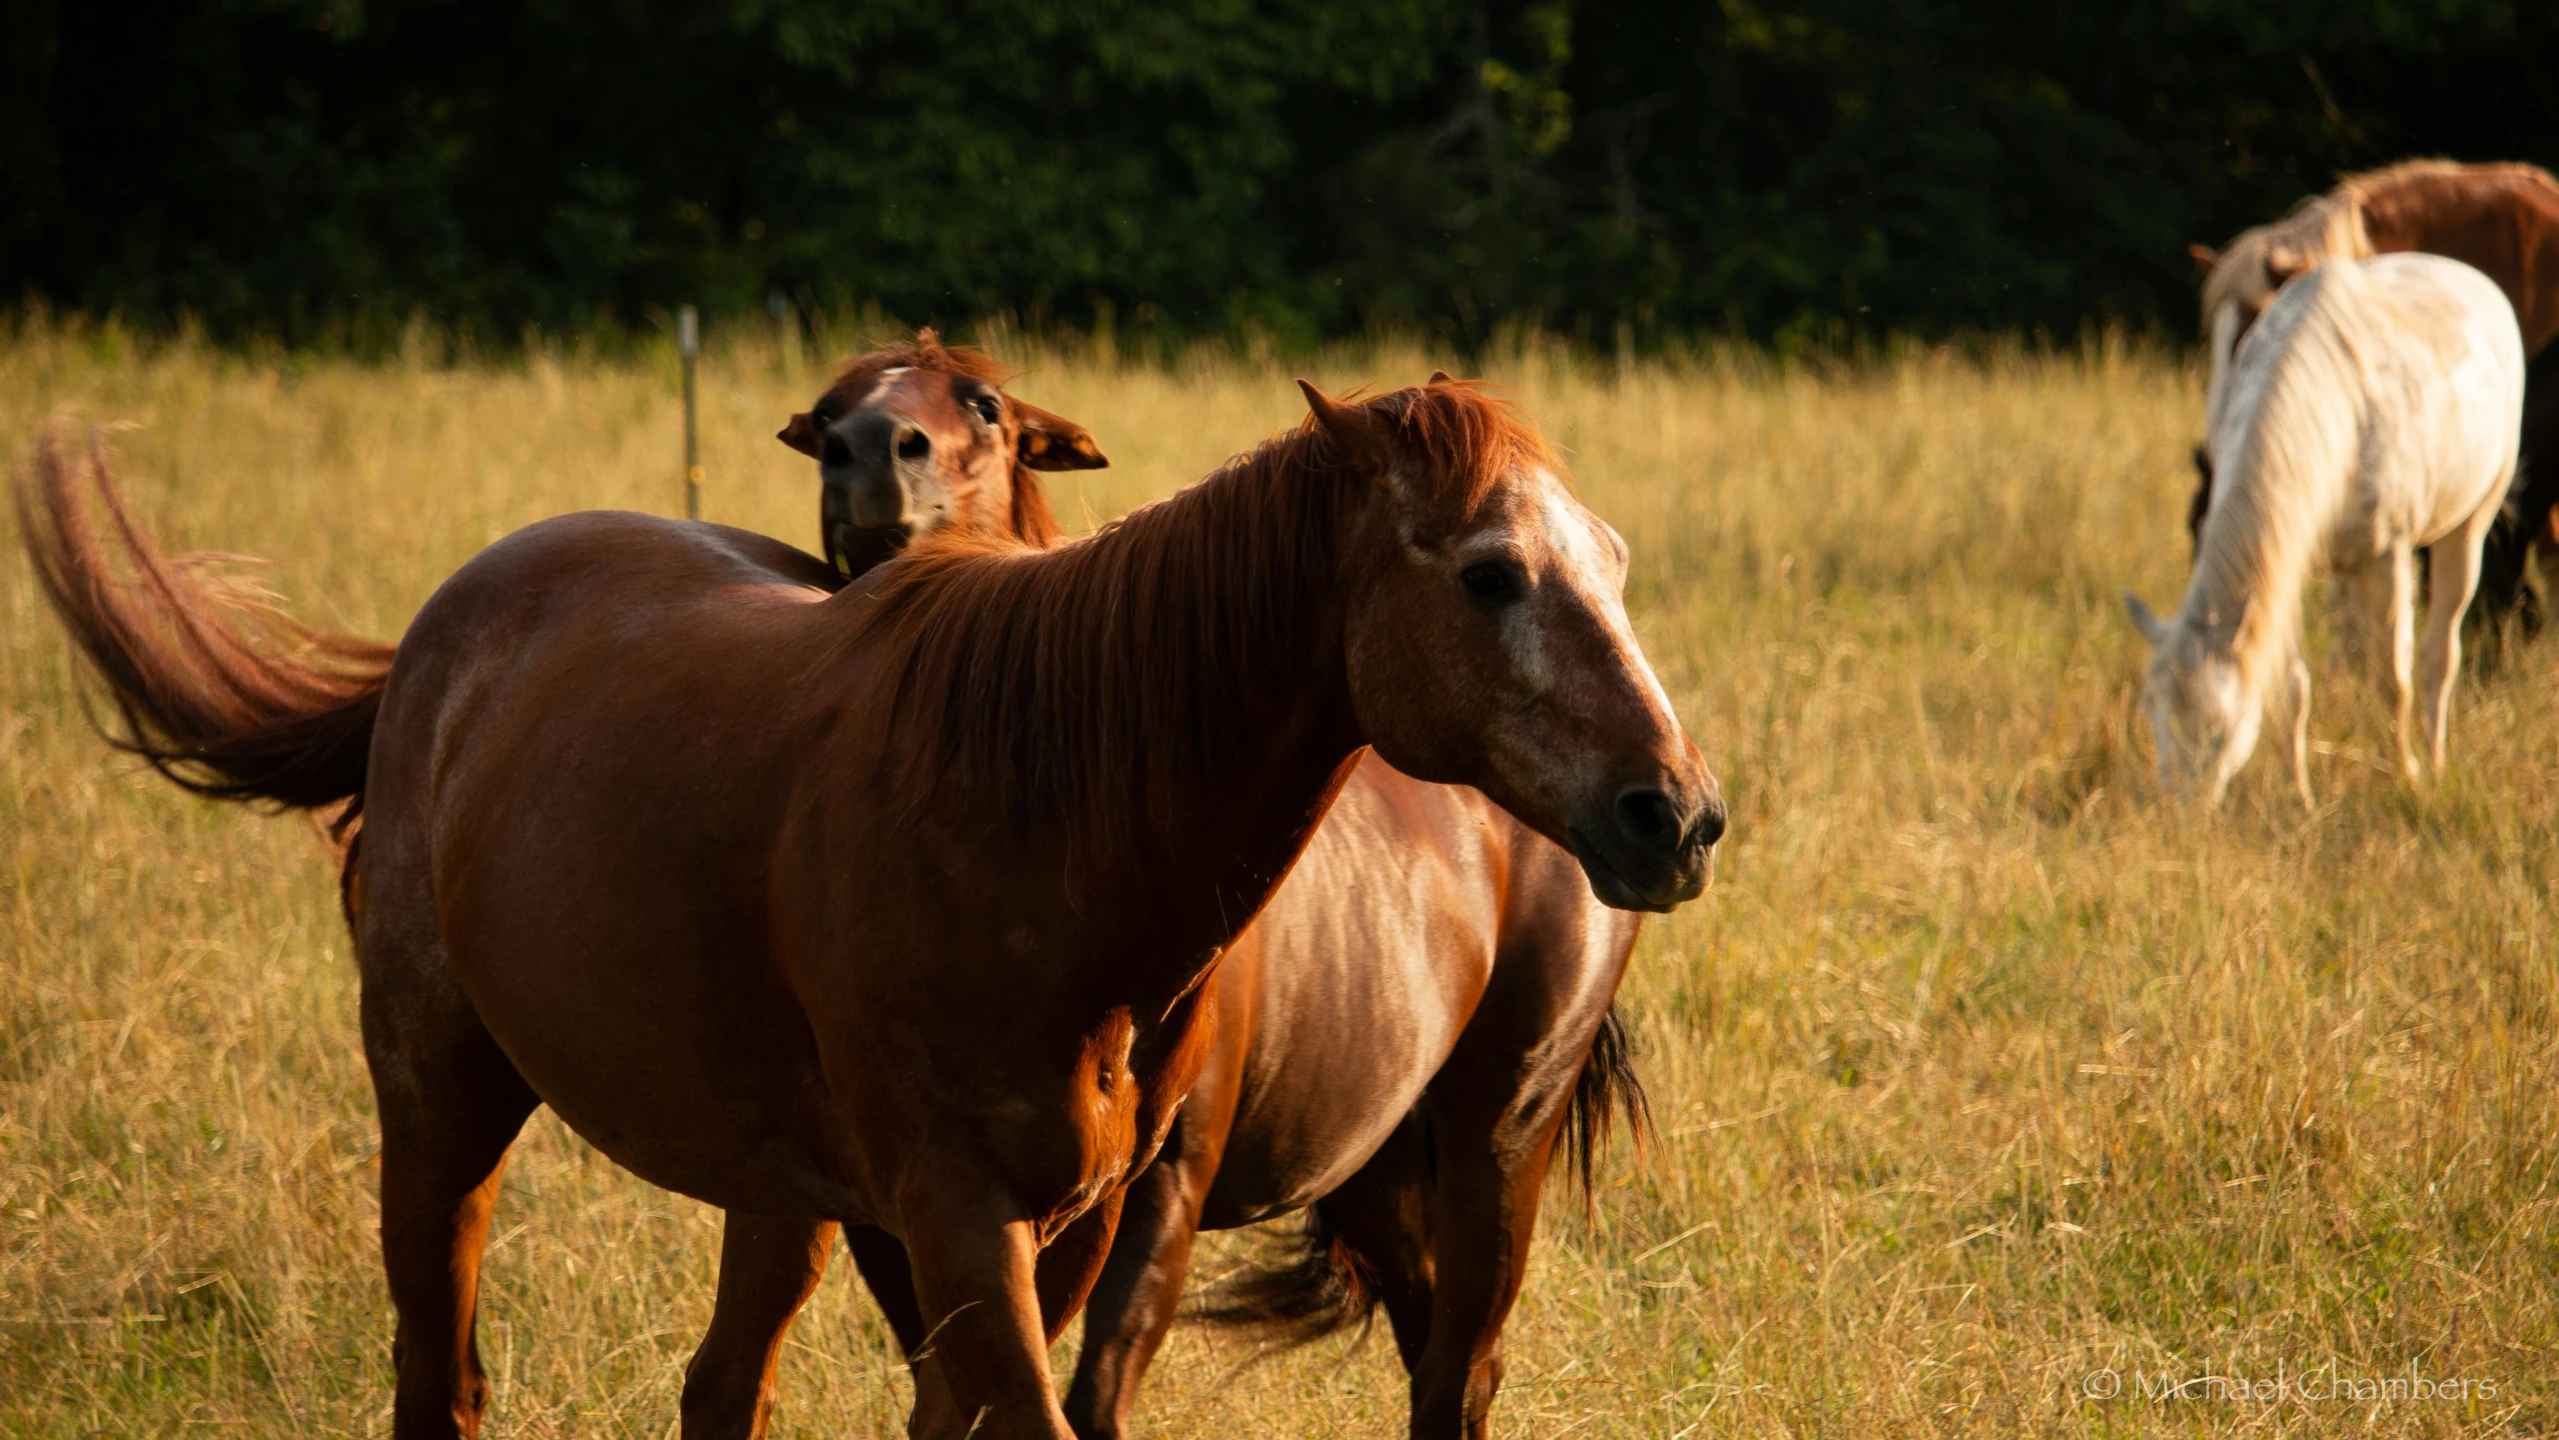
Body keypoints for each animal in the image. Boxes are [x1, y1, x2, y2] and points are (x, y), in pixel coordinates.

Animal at [19, 358, 1719, 1440]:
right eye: (1490, 573)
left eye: (1613, 562)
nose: (1677, 813)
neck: (1047, 818)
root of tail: (451, 624)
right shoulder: (961, 1217)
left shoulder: (1079, 1222)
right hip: (443, 1097)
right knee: (447, 1381)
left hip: (1474, 1140)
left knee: (1450, 1373)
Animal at [2129, 251, 2528, 808]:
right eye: (2151, 710)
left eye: (2220, 731)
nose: (2177, 812)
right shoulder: (2286, 564)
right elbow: (2293, 689)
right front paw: (2299, 795)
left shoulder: (2386, 559)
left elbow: (2392, 681)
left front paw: (2404, 777)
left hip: (2468, 528)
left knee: (2437, 657)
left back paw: (2431, 762)